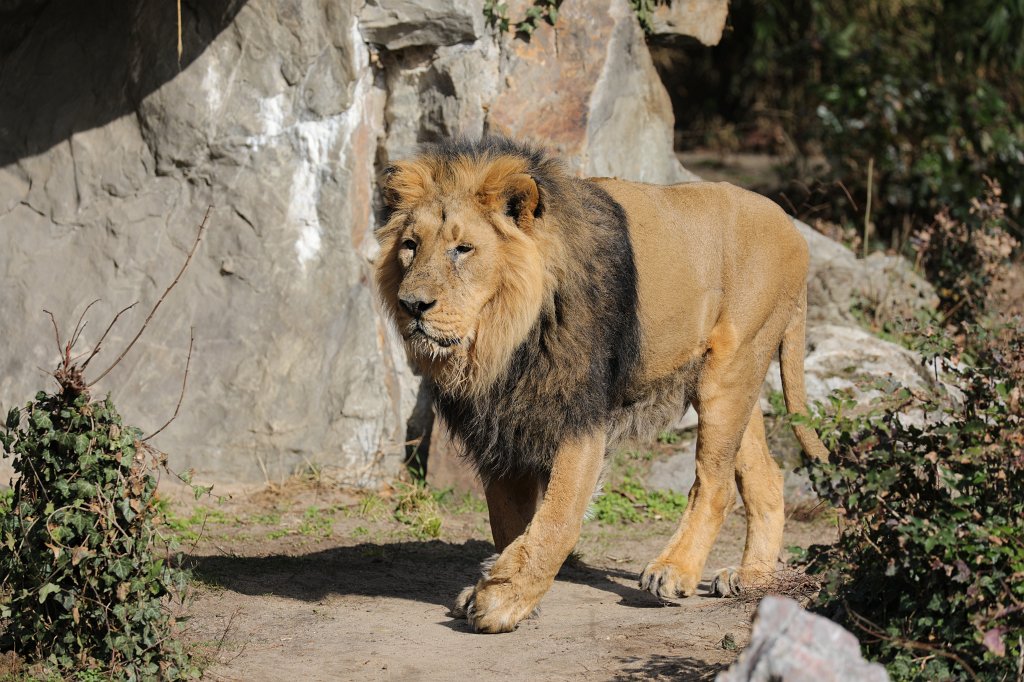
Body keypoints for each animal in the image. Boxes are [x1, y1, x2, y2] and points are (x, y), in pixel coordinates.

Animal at [374, 137, 828, 634]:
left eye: (463, 249)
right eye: (410, 246)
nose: (412, 305)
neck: (502, 341)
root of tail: (791, 227)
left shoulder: (580, 416)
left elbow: (556, 518)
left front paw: (502, 599)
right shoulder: (503, 426)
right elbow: (509, 521)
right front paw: (499, 588)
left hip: (730, 370)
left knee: (716, 484)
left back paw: (674, 571)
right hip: (730, 379)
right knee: (764, 474)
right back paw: (752, 577)